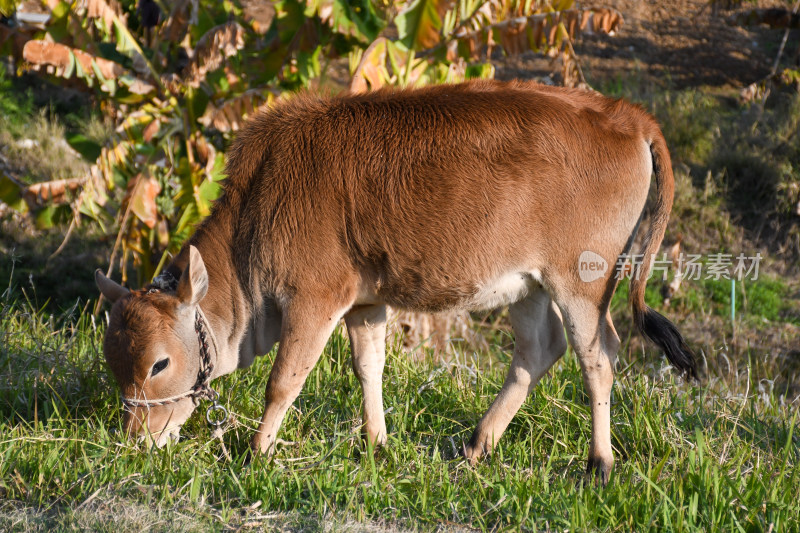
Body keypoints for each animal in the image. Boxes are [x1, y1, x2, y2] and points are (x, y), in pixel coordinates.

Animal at [94, 80, 696, 482]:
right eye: (112, 361)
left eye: (159, 364)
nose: (136, 441)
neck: (258, 205)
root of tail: (627, 115)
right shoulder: (366, 304)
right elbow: (369, 367)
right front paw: (377, 443)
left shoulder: (316, 299)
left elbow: (284, 380)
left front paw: (258, 452)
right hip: (528, 286)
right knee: (537, 351)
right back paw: (478, 445)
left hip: (581, 284)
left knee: (599, 357)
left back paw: (600, 462)